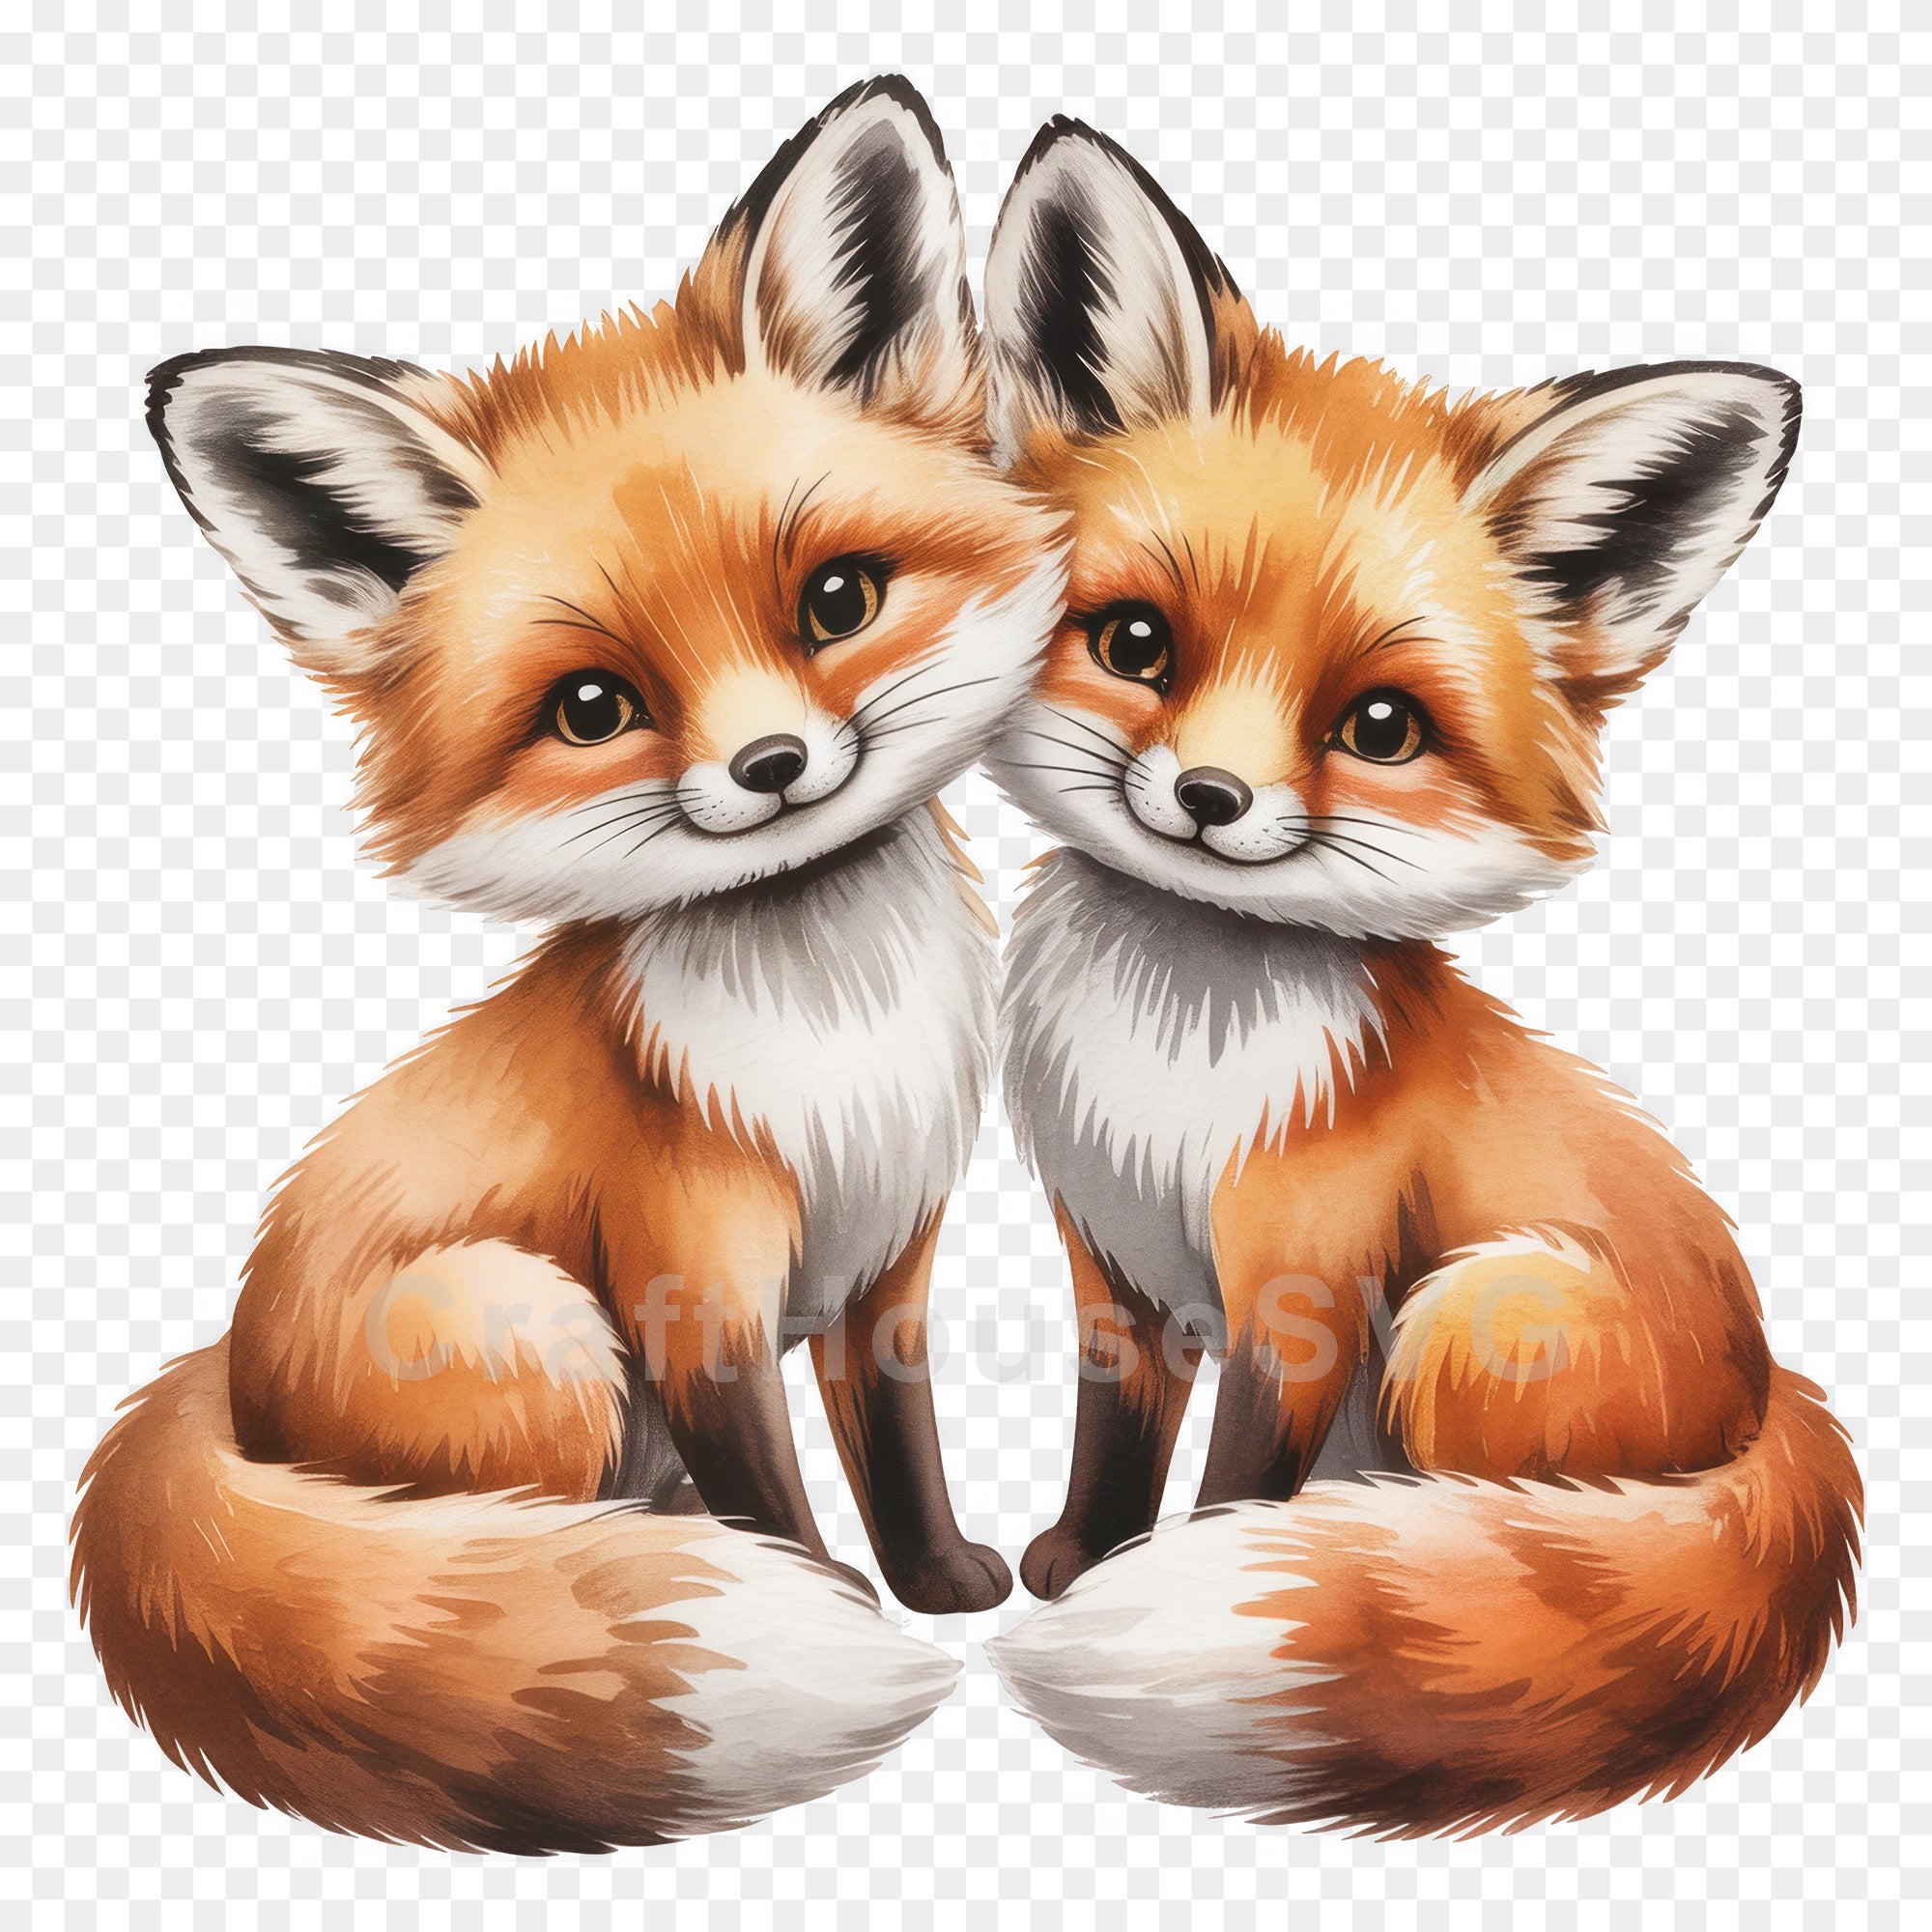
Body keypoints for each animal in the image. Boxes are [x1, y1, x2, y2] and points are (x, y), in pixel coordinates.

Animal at [69, 78, 1062, 1855]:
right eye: (594, 708)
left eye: (838, 600)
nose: (772, 771)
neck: (831, 1037)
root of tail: (229, 1383)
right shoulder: (692, 1283)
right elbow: (781, 1494)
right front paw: (823, 1607)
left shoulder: (887, 1259)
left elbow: (899, 1446)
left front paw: (943, 1579)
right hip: (530, 1326)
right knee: (486, 1542)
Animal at [976, 119, 1861, 1835]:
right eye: (1136, 643)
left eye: (1379, 727)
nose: (1207, 800)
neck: (1169, 1066)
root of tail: (1773, 1393)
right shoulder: (1112, 1261)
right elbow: (1113, 1442)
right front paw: (1083, 1560)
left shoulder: (1305, 1285)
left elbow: (1235, 1475)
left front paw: (1206, 1577)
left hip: (1476, 1314)